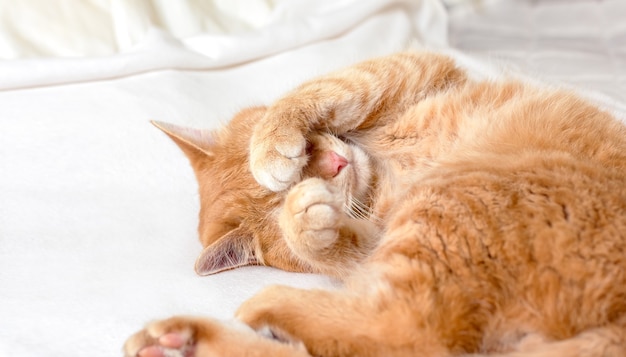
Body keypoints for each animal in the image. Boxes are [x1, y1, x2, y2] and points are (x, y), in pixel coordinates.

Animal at [124, 51, 624, 354]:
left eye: (309, 154)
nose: (336, 163)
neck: (382, 169)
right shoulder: (377, 244)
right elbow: (341, 249)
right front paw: (302, 224)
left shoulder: (416, 67)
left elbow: (322, 89)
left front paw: (272, 146)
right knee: (404, 333)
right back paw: (182, 338)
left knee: (407, 334)